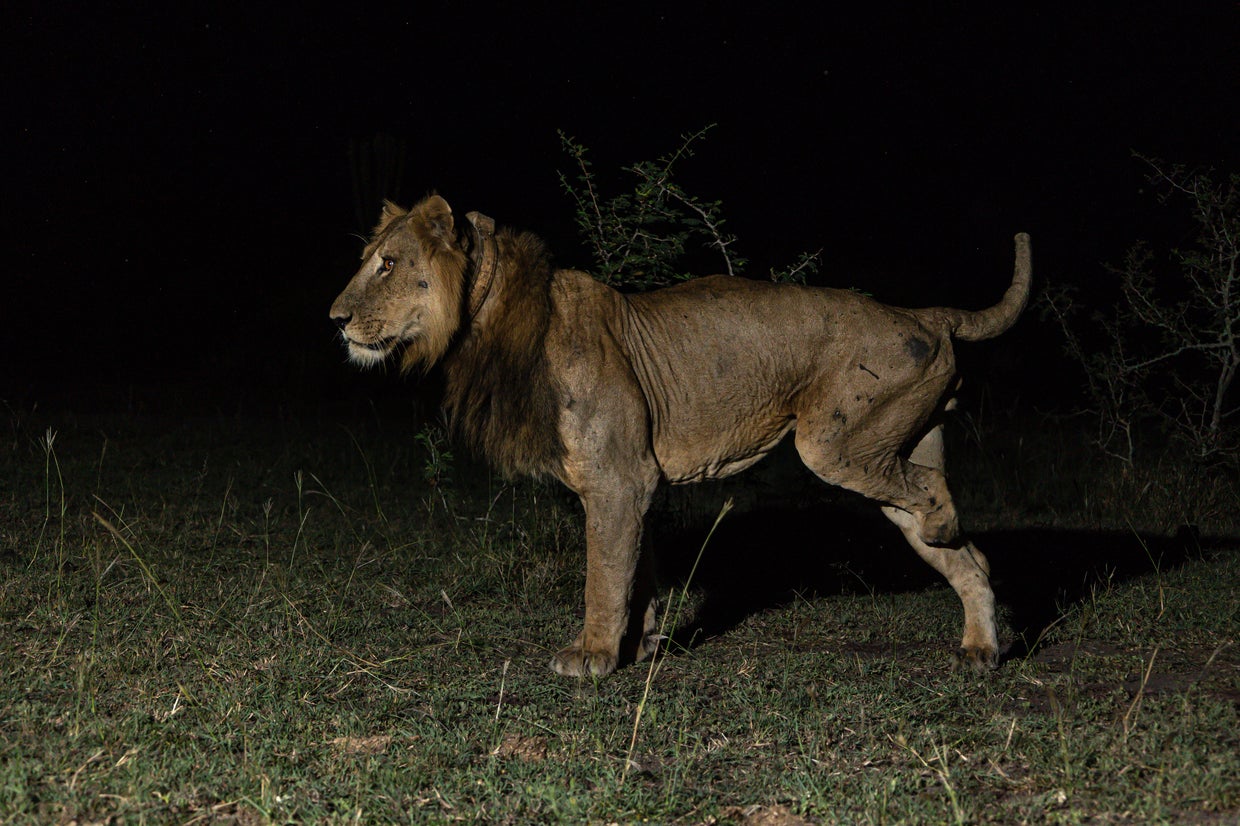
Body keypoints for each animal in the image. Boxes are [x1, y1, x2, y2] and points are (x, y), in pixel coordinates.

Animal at [330, 194, 1032, 677]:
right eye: (369, 261)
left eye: (388, 265)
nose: (334, 319)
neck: (490, 321)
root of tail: (922, 313)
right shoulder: (634, 483)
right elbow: (636, 570)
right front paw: (638, 645)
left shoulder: (618, 480)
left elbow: (604, 575)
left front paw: (591, 655)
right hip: (890, 446)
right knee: (968, 555)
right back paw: (980, 648)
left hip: (834, 443)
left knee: (934, 497)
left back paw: (946, 530)